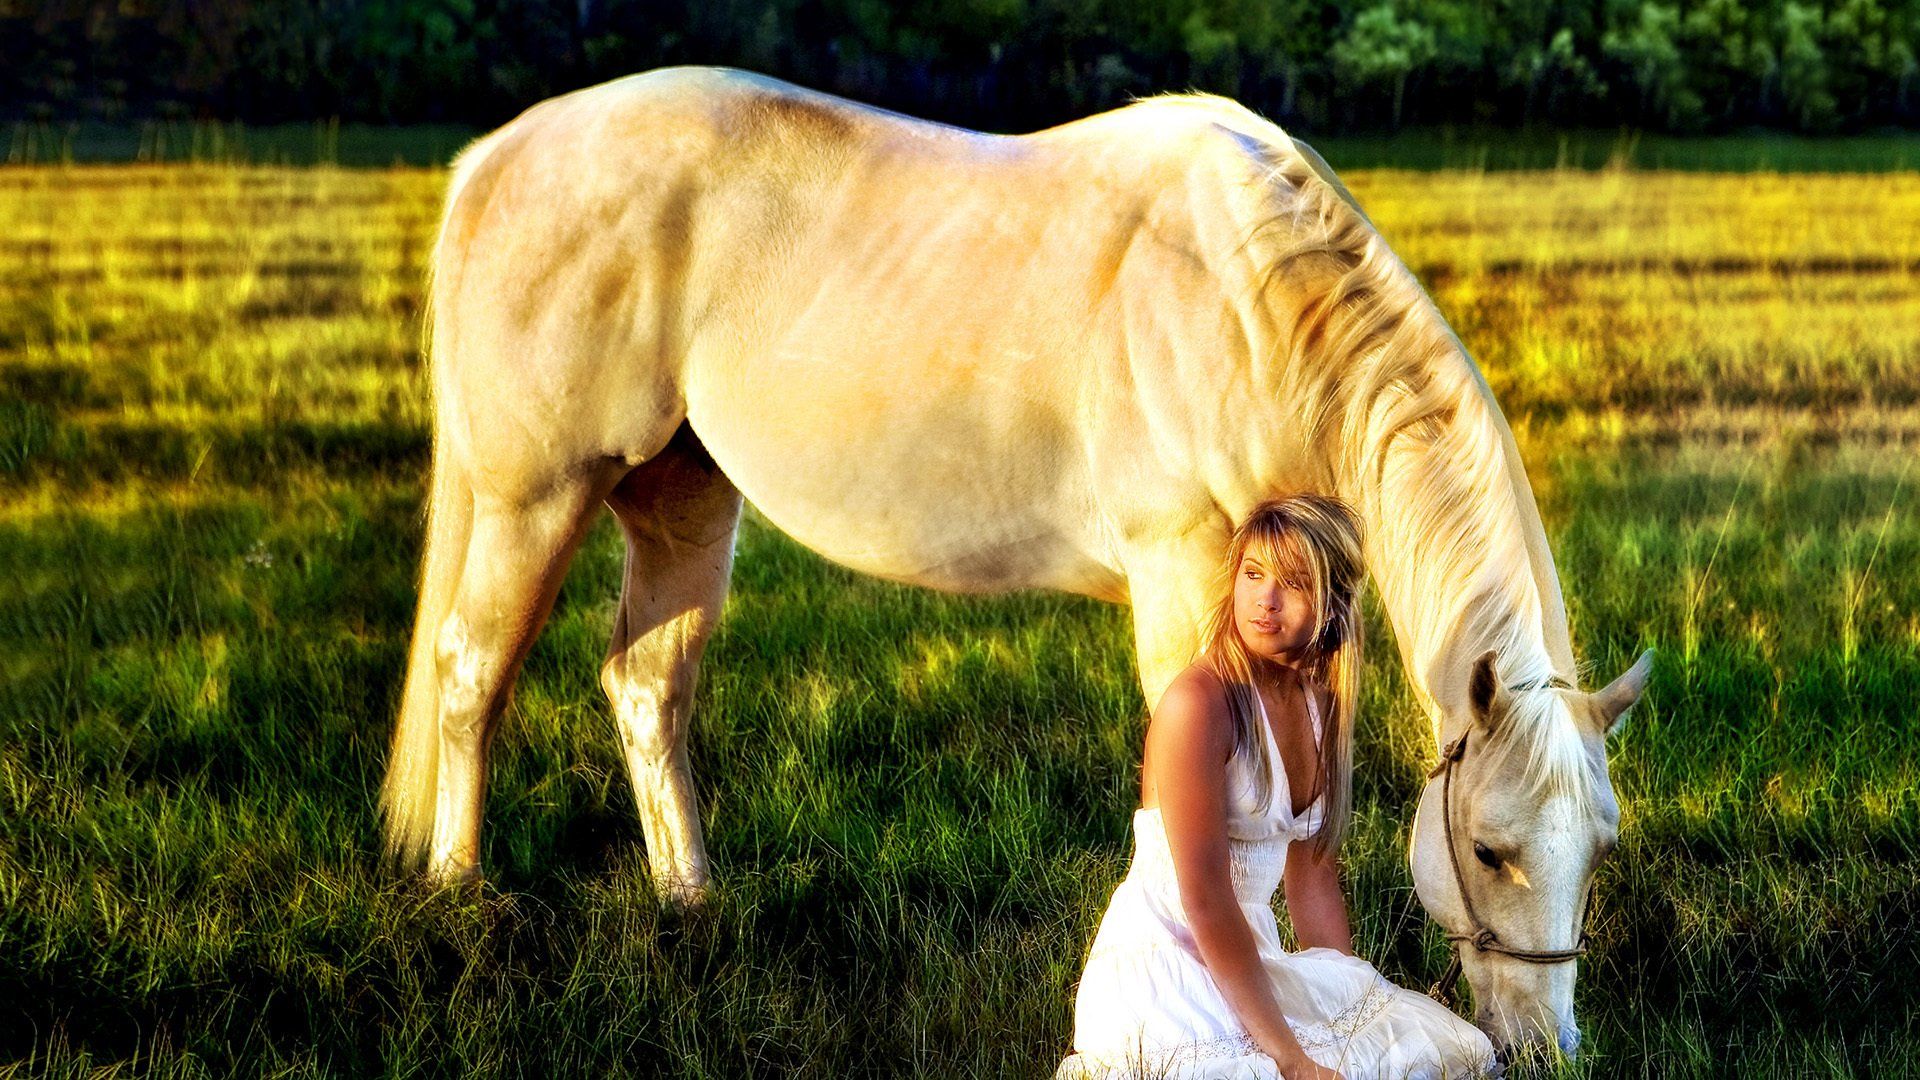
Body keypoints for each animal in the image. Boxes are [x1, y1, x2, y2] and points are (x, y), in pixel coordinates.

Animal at [379, 65, 1650, 1057]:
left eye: (1598, 847)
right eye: (1488, 850)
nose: (1548, 1048)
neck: (1256, 304)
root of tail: (498, 155)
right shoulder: (1186, 576)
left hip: (682, 497)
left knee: (648, 686)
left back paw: (692, 902)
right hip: (533, 497)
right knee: (470, 672)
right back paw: (461, 901)